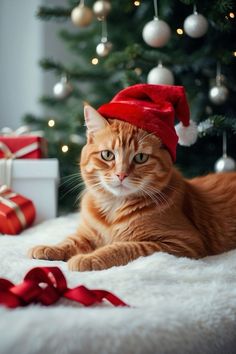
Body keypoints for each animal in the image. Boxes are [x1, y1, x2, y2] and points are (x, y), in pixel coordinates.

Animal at [28, 106, 236, 272]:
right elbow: (71, 241)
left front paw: (89, 258)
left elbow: (124, 247)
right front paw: (50, 248)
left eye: (140, 158)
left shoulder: (181, 243)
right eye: (107, 155)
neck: (113, 208)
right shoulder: (87, 234)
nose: (121, 174)